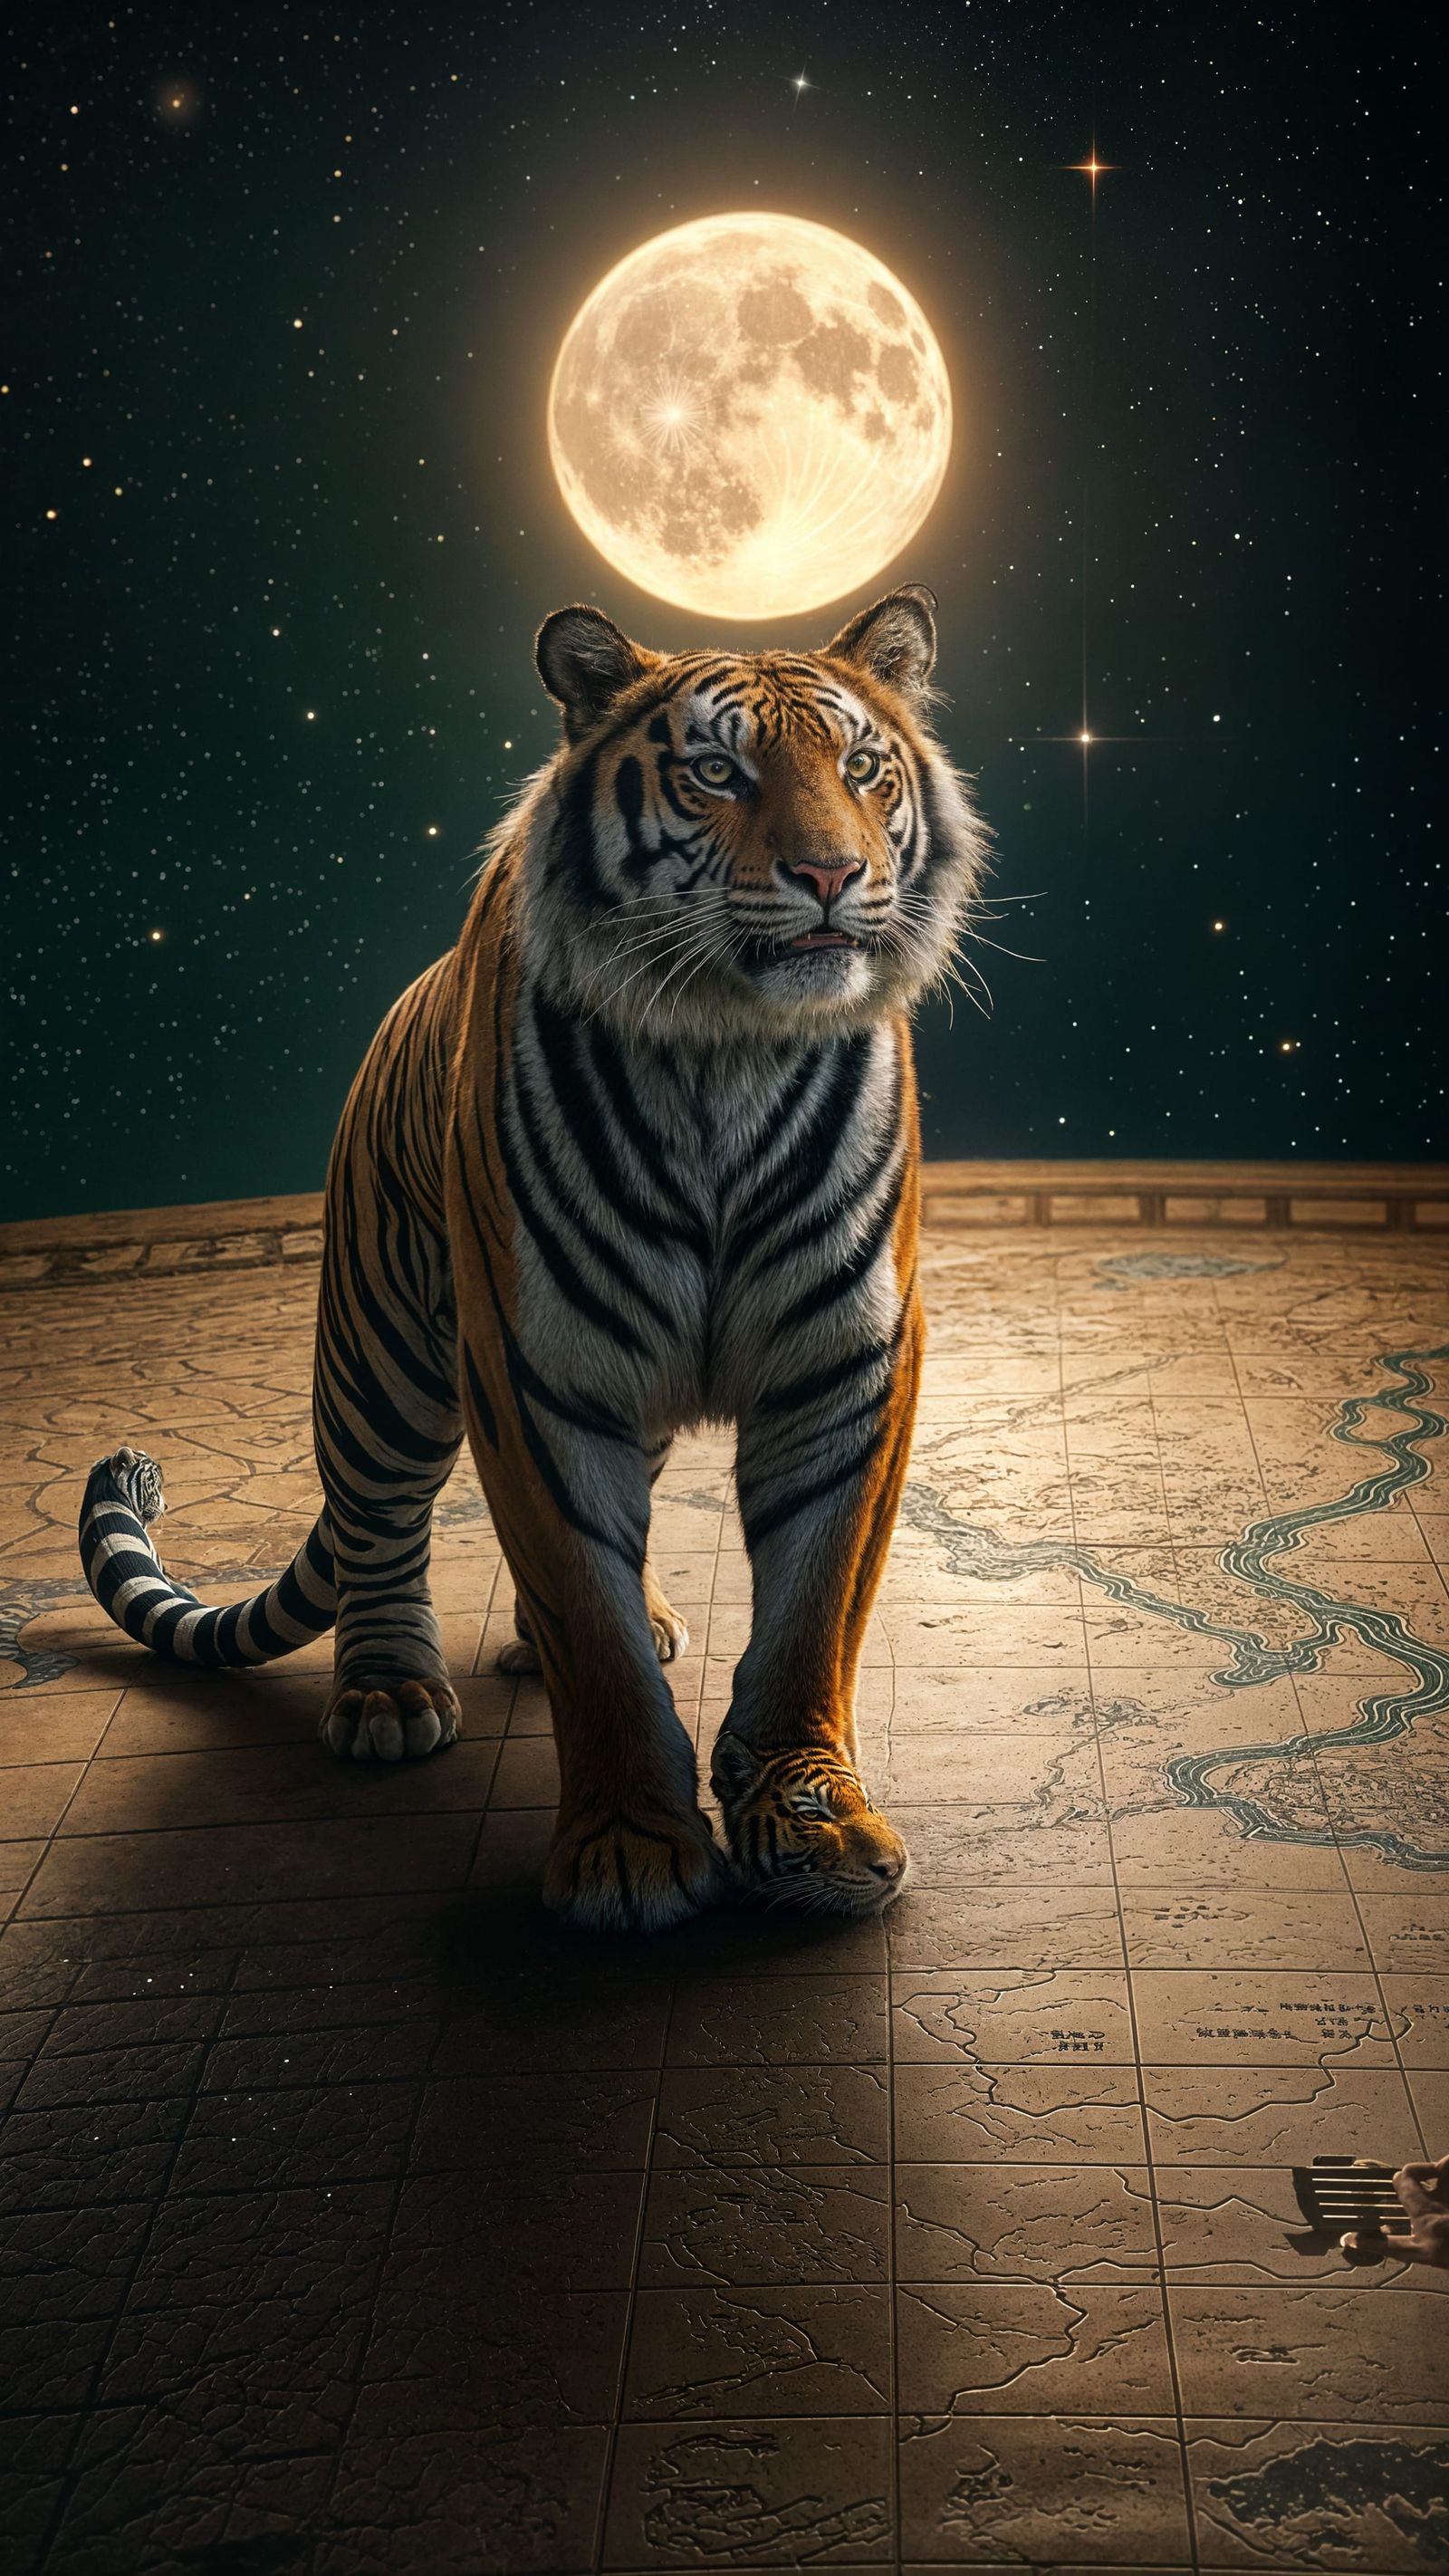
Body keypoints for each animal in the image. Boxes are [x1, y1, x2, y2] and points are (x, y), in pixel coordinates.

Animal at [78, 582, 987, 1931]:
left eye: (864, 768)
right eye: (717, 772)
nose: (833, 873)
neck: (728, 1049)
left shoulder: (848, 1359)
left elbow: (813, 1612)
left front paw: (818, 1829)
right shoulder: (532, 1363)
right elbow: (583, 1618)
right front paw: (630, 1853)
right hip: (383, 1354)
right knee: (379, 1525)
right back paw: (388, 1695)